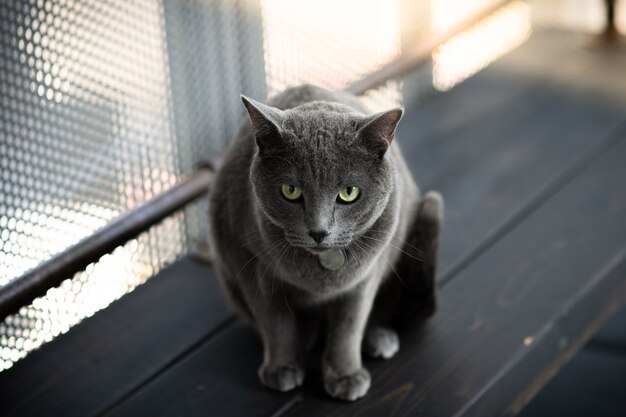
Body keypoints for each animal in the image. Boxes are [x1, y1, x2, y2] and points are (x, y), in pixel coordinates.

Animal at [207, 84, 442, 400]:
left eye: (349, 192)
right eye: (290, 191)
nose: (318, 232)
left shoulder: (365, 275)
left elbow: (349, 326)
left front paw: (345, 375)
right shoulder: (251, 265)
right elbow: (275, 322)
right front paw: (282, 368)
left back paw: (379, 337)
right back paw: (307, 337)